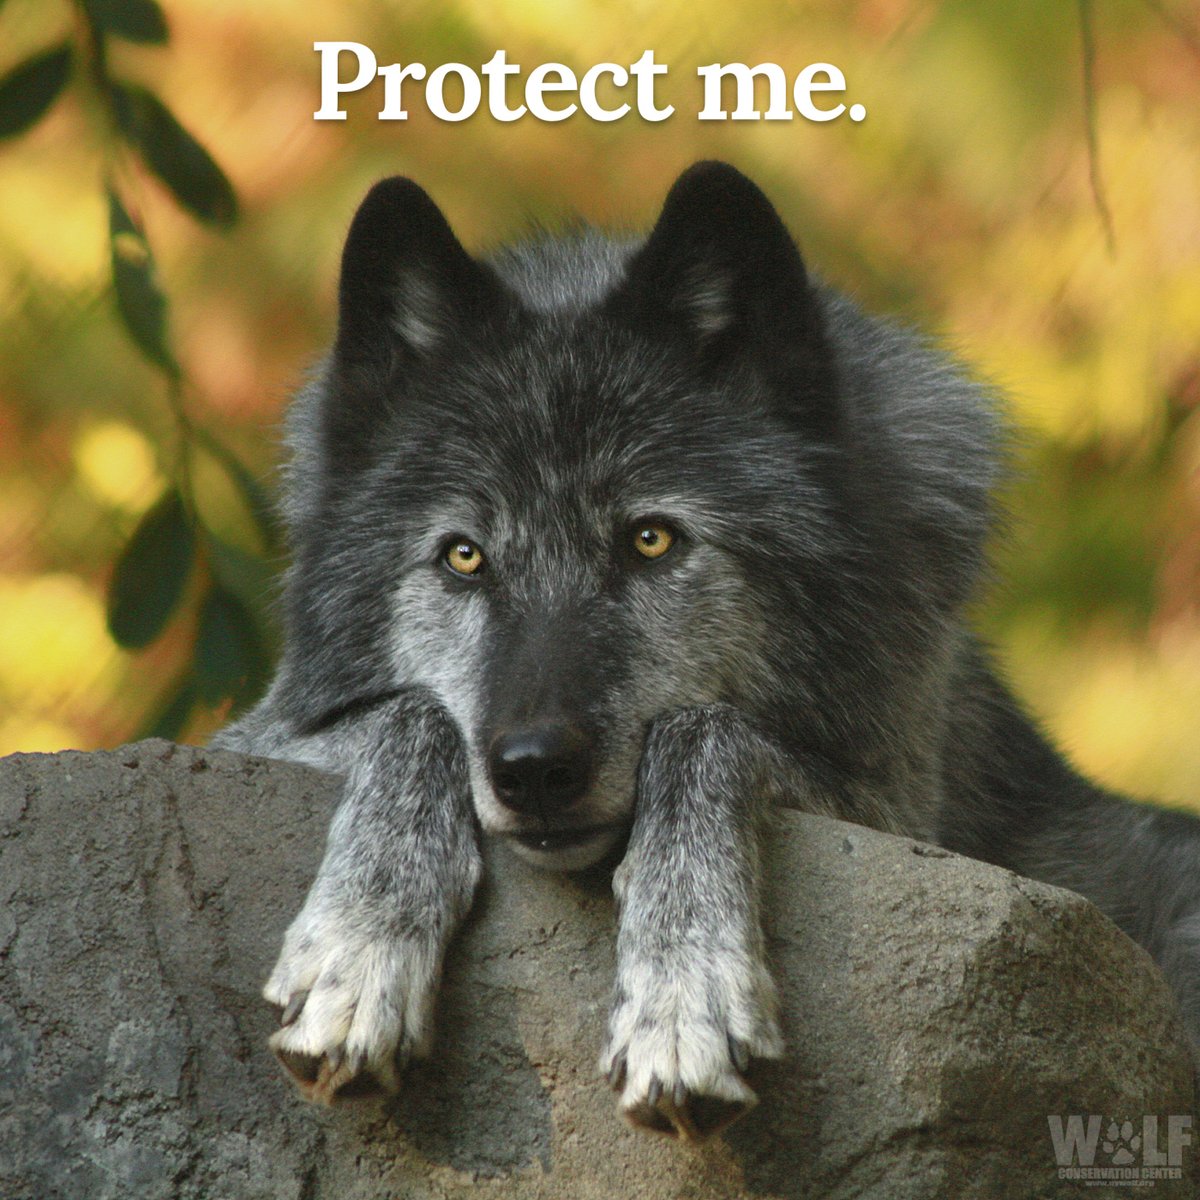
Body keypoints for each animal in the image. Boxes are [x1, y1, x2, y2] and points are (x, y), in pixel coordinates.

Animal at [214, 161, 1200, 1140]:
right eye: (463, 556)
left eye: (651, 541)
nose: (535, 769)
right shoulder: (252, 737)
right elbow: (412, 714)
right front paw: (360, 949)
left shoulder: (900, 807)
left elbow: (703, 732)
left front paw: (684, 995)